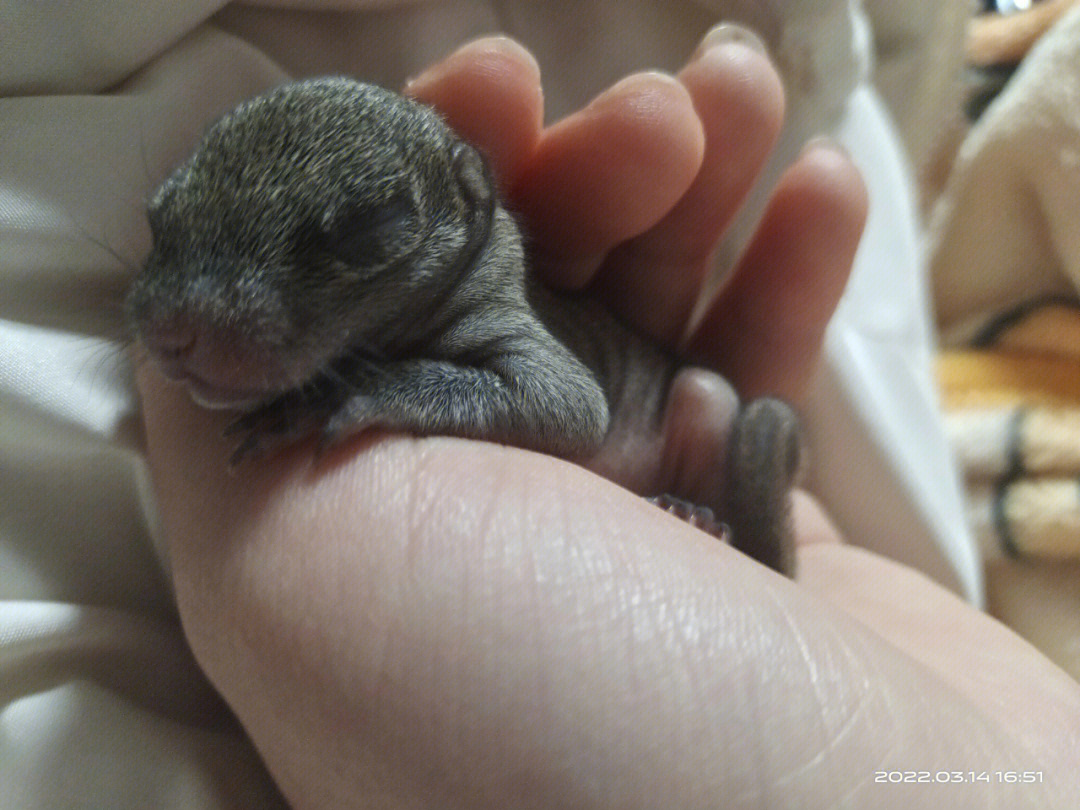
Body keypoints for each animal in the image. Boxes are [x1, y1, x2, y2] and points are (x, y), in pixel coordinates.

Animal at [126, 74, 803, 570]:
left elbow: (570, 405)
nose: (172, 331)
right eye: (156, 219)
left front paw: (328, 397)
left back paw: (699, 517)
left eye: (371, 227)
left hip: (729, 413)